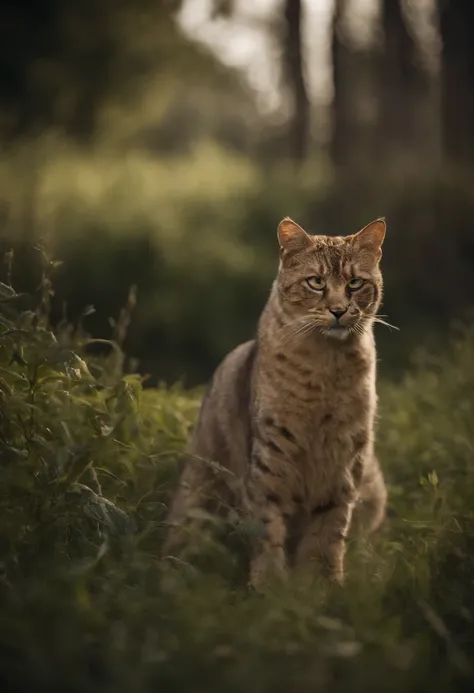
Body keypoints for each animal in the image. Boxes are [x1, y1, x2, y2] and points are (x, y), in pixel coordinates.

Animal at [165, 216, 386, 588]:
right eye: (316, 282)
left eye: (355, 283)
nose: (339, 310)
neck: (327, 365)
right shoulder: (272, 452)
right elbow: (268, 524)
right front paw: (269, 585)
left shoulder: (345, 460)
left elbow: (329, 532)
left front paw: (324, 586)